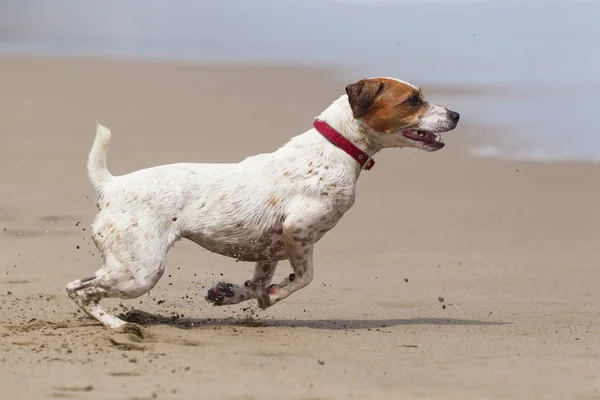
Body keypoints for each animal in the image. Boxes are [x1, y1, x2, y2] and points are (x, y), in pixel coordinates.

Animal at [65, 77, 460, 328]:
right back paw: (118, 326)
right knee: (81, 291)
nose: (456, 115)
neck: (336, 147)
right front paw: (275, 295)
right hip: (141, 272)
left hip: (123, 264)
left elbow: (255, 284)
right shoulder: (297, 229)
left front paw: (229, 294)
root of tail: (111, 185)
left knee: (76, 286)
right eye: (413, 99)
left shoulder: (268, 249)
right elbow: (304, 278)